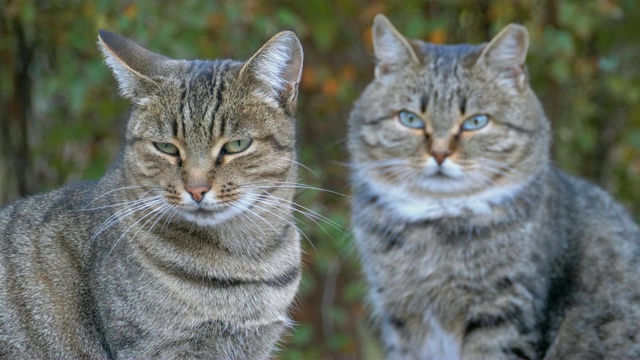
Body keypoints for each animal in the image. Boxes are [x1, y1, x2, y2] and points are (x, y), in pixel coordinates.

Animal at [348, 13, 640, 358]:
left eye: (476, 122)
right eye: (410, 119)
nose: (440, 153)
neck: (433, 225)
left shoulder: (504, 315)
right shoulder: (401, 318)